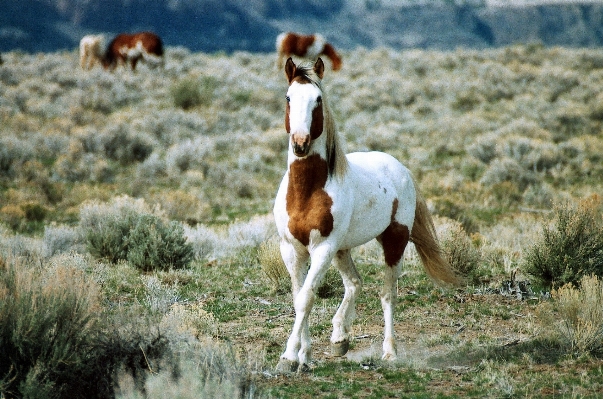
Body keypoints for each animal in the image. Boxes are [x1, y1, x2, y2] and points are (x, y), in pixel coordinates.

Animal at [274, 57, 458, 374]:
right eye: (288, 98)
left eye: (318, 99)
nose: (300, 143)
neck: (307, 192)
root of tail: (401, 169)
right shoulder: (293, 250)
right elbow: (300, 298)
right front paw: (304, 356)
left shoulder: (322, 249)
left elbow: (306, 298)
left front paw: (288, 357)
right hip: (343, 250)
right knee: (354, 283)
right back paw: (339, 338)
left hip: (393, 242)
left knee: (387, 294)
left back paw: (389, 352)